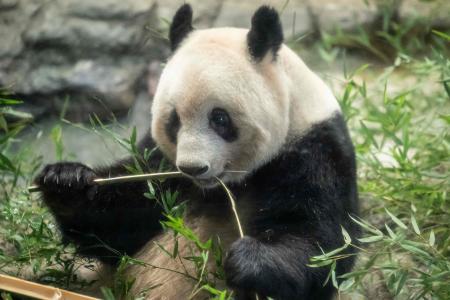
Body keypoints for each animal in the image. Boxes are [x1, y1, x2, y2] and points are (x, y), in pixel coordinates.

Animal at [34, 4, 358, 300]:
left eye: (219, 118)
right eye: (174, 120)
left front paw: (249, 261)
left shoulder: (313, 151)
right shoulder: (162, 165)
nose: (193, 168)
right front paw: (65, 180)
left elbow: (321, 243)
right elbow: (118, 220)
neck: (222, 187)